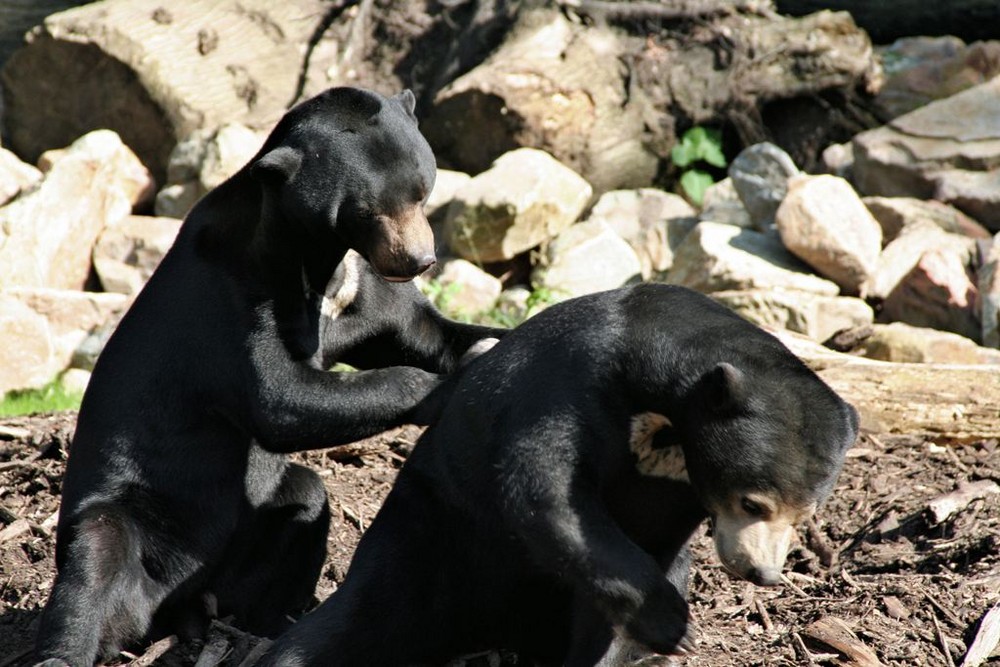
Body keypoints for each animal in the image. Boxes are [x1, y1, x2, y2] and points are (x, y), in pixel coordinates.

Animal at [35, 88, 504, 667]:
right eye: (366, 210)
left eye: (422, 190)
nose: (418, 260)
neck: (319, 259)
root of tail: (180, 601)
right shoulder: (236, 295)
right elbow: (279, 399)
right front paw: (448, 384)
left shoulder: (362, 289)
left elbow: (421, 330)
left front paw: (491, 342)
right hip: (132, 515)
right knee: (96, 559)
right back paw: (66, 651)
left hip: (254, 525)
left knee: (305, 502)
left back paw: (272, 620)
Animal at [258, 284, 860, 664]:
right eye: (753, 502)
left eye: (805, 516)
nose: (763, 573)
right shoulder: (574, 380)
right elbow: (541, 488)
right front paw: (676, 625)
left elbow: (624, 570)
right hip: (428, 535)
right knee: (349, 625)